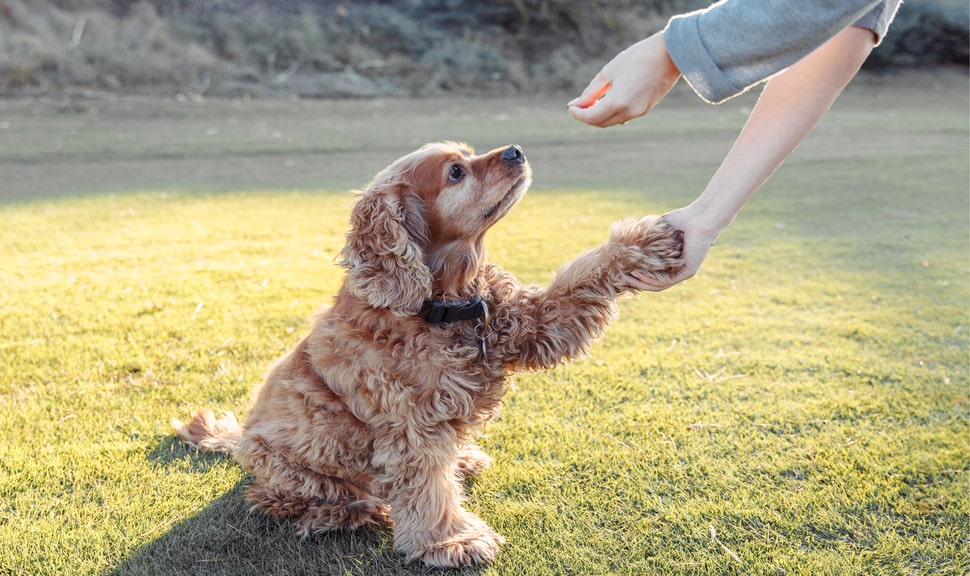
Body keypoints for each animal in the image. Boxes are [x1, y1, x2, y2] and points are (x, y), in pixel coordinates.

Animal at [176, 141, 688, 568]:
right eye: (456, 172)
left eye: (470, 153)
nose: (516, 150)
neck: (442, 305)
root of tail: (238, 439)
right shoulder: (410, 425)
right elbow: (426, 487)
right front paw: (452, 541)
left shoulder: (531, 323)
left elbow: (578, 280)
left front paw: (644, 244)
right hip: (285, 462)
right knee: (289, 495)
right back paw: (342, 511)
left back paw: (461, 460)